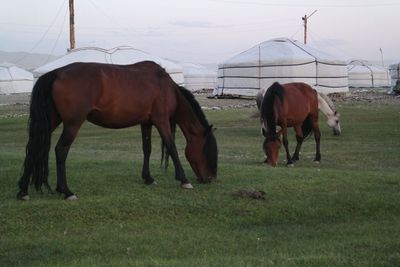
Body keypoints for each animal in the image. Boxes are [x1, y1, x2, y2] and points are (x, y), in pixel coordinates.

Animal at [17, 60, 219, 199]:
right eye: (206, 150)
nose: (209, 179)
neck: (165, 87)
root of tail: (56, 73)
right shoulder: (161, 121)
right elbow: (172, 147)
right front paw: (184, 180)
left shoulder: (146, 123)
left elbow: (147, 149)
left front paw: (148, 178)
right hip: (73, 124)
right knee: (61, 150)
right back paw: (66, 191)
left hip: (52, 121)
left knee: (34, 147)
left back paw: (23, 190)